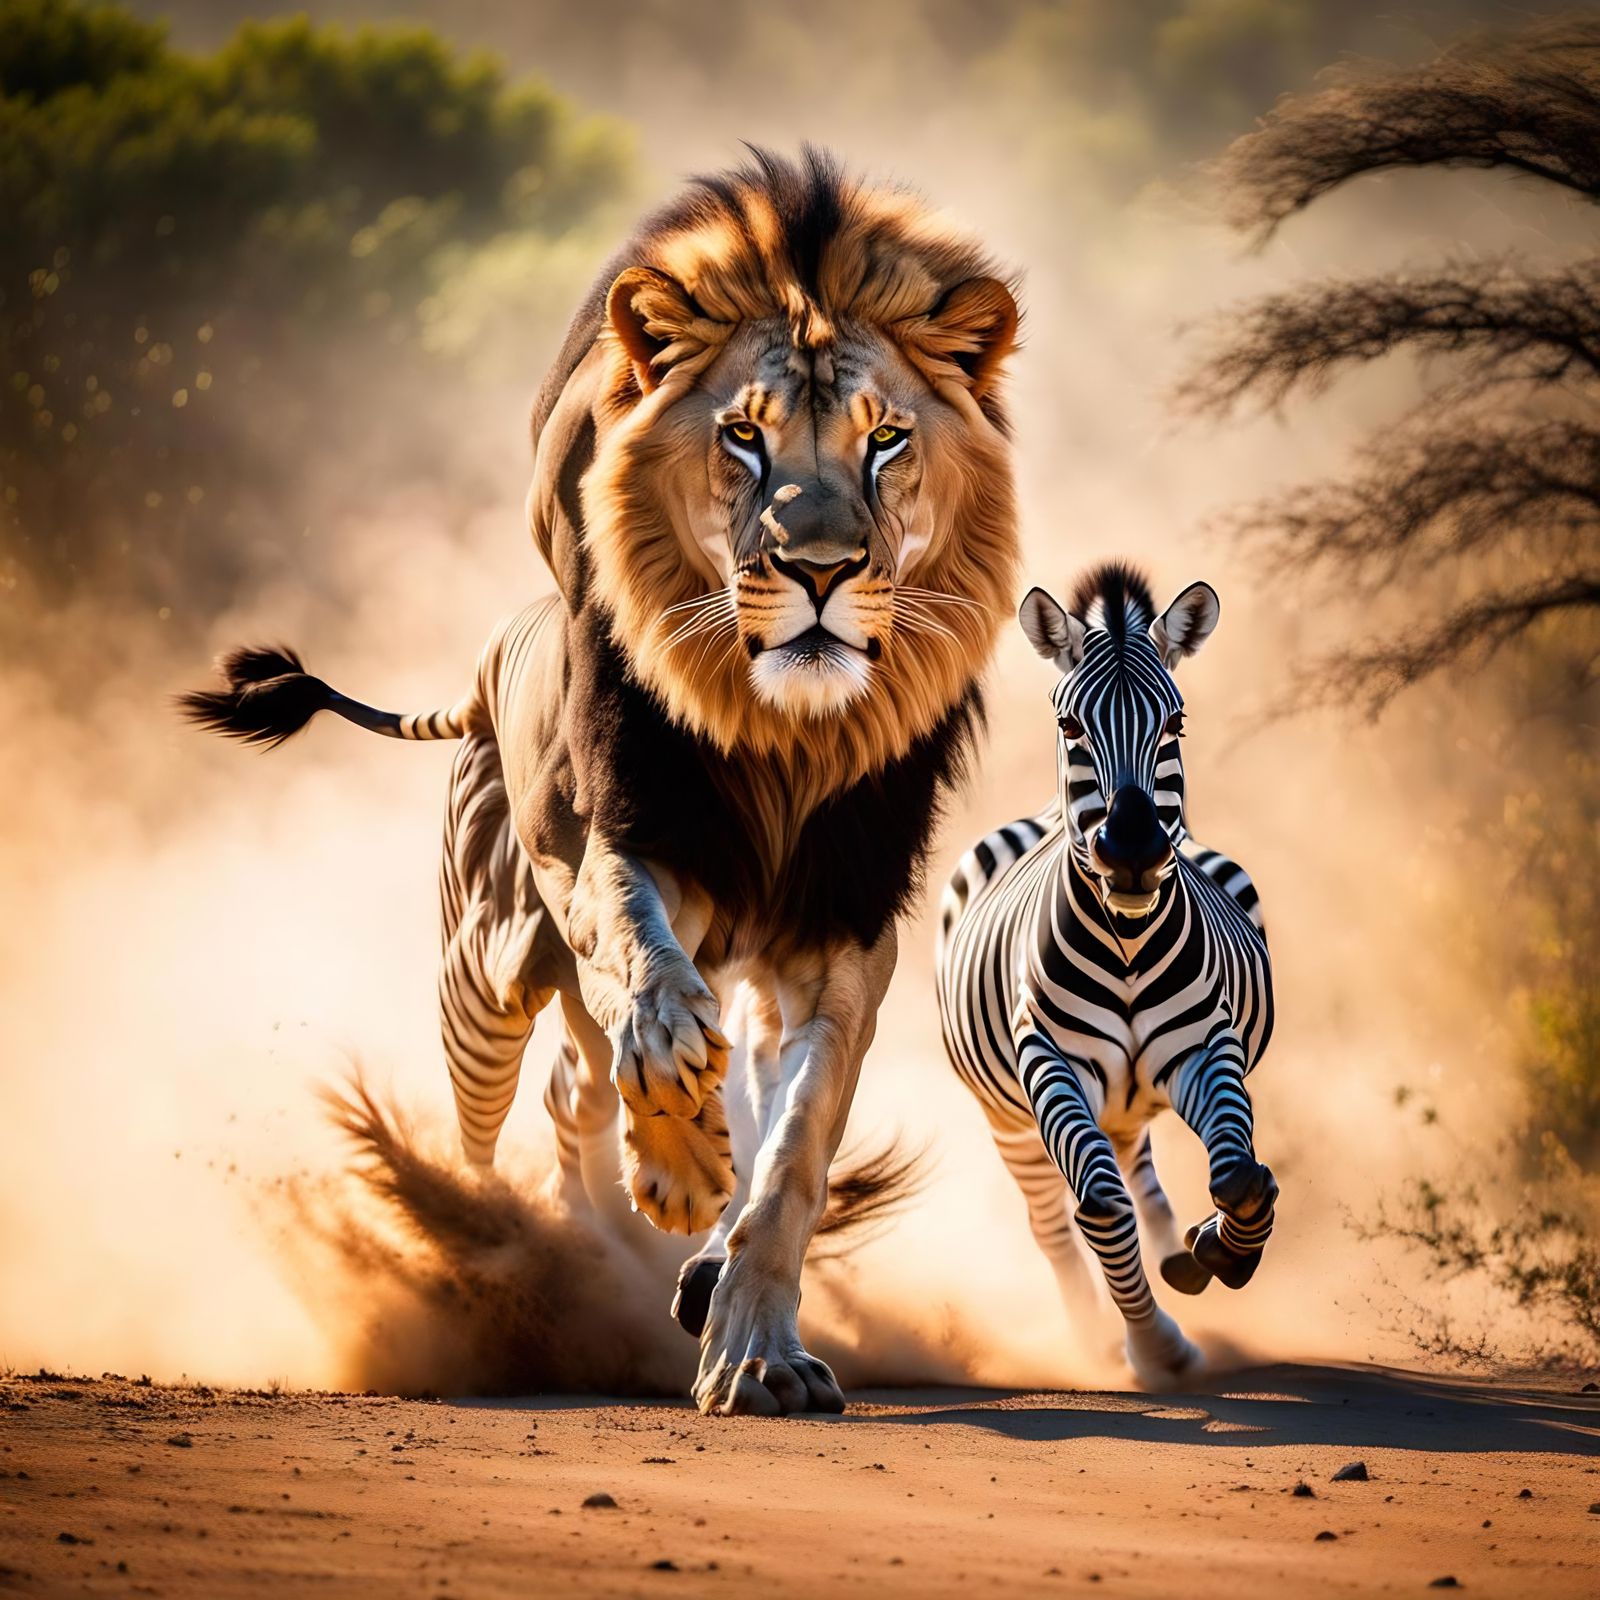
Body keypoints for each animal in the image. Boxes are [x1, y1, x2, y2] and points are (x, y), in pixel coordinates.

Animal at [182, 146, 1021, 1415]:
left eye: (886, 440)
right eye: (743, 437)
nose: (821, 569)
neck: (780, 736)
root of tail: (492, 655)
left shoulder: (843, 933)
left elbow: (792, 1151)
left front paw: (753, 1337)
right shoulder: (613, 853)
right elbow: (649, 982)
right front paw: (676, 1162)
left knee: (583, 1089)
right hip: (483, 975)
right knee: (499, 1126)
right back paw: (506, 1248)